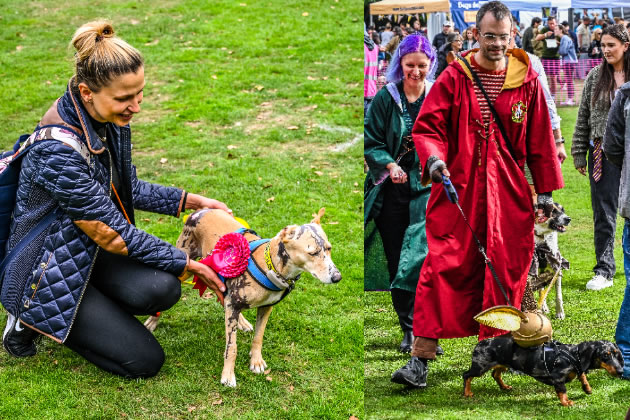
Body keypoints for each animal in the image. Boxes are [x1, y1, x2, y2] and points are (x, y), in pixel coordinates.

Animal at [144, 207, 340, 388]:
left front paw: (256, 361)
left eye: (329, 248)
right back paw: (153, 321)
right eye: (312, 253)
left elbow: (259, 337)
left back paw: (242, 322)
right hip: (183, 263)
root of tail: (201, 210)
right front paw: (228, 374)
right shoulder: (233, 304)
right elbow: (232, 347)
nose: (337, 277)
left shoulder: (265, 308)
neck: (270, 266)